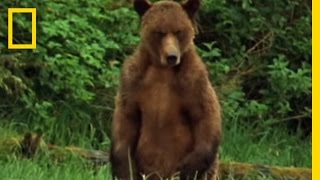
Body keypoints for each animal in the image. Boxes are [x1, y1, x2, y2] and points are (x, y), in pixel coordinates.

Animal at [110, 0, 222, 179]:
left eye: (178, 31)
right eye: (159, 32)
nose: (172, 56)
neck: (163, 71)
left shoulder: (194, 82)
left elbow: (206, 117)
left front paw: (187, 168)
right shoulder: (132, 82)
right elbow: (126, 119)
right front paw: (125, 169)